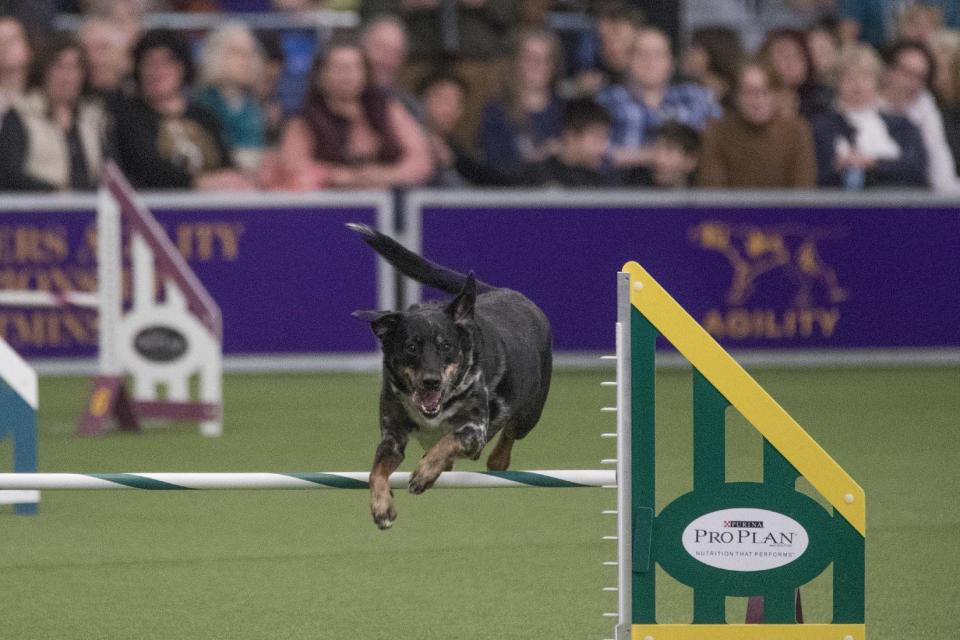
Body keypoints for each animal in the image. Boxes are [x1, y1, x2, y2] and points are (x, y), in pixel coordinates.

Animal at [348, 225, 552, 528]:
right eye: (411, 347)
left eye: (446, 346)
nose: (431, 381)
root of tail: (507, 291)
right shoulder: (392, 437)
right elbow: (377, 471)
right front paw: (382, 506)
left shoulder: (474, 430)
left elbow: (448, 441)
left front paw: (424, 472)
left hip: (530, 413)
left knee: (510, 433)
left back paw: (496, 460)